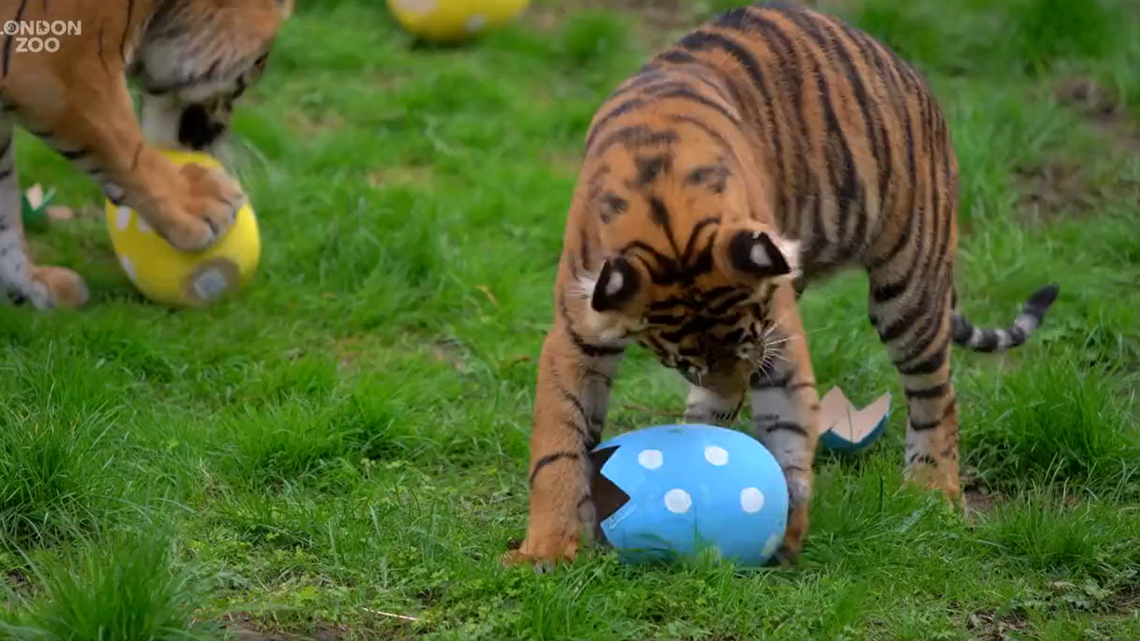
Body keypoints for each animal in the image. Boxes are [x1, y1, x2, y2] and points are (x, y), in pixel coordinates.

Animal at [0, 0, 292, 310]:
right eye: (259, 63)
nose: (214, 138)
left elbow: (5, 205)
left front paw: (30, 284)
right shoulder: (59, 66)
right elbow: (121, 140)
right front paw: (196, 208)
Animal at [505, 1, 1059, 568]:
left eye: (744, 353)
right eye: (684, 364)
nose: (730, 396)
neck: (667, 215)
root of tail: (899, 63)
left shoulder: (777, 333)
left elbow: (790, 423)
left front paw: (787, 521)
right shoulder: (577, 335)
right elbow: (558, 443)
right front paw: (546, 549)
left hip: (909, 283)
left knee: (937, 394)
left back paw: (931, 491)